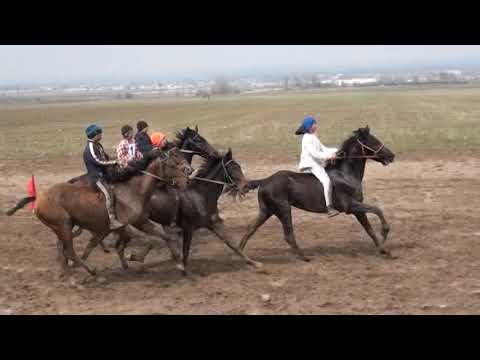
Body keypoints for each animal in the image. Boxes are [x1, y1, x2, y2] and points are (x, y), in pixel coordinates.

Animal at [5, 148, 192, 276]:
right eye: (173, 164)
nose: (188, 177)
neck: (134, 190)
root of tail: (39, 198)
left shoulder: (140, 222)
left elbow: (163, 236)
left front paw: (180, 263)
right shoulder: (123, 226)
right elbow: (149, 240)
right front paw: (134, 257)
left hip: (64, 227)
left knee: (63, 248)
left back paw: (67, 271)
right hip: (63, 225)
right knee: (69, 250)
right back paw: (89, 273)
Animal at [238, 126, 396, 258]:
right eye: (374, 141)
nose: (392, 155)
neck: (345, 174)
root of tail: (264, 181)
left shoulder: (357, 209)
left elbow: (369, 229)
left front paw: (383, 249)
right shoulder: (351, 207)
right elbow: (377, 210)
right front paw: (385, 234)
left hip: (267, 211)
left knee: (250, 229)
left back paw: (242, 254)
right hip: (283, 209)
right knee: (288, 235)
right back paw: (304, 257)